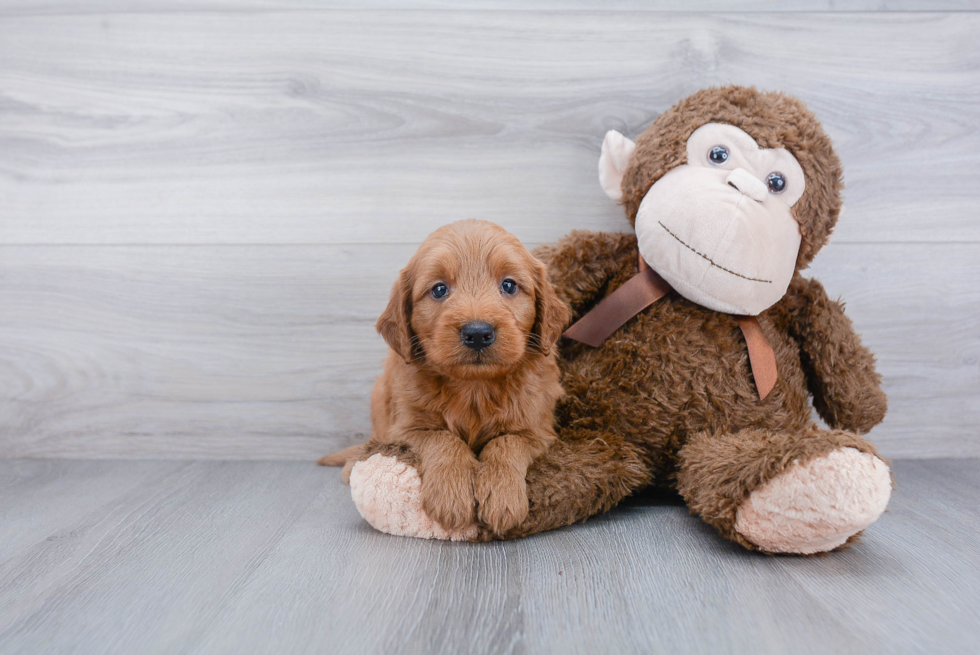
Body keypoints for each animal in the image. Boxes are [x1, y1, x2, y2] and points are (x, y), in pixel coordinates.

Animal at [318, 219, 572, 532]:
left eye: (509, 285)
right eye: (439, 289)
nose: (478, 333)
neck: (474, 388)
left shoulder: (538, 431)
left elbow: (506, 442)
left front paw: (502, 498)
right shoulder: (405, 429)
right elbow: (443, 438)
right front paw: (452, 497)